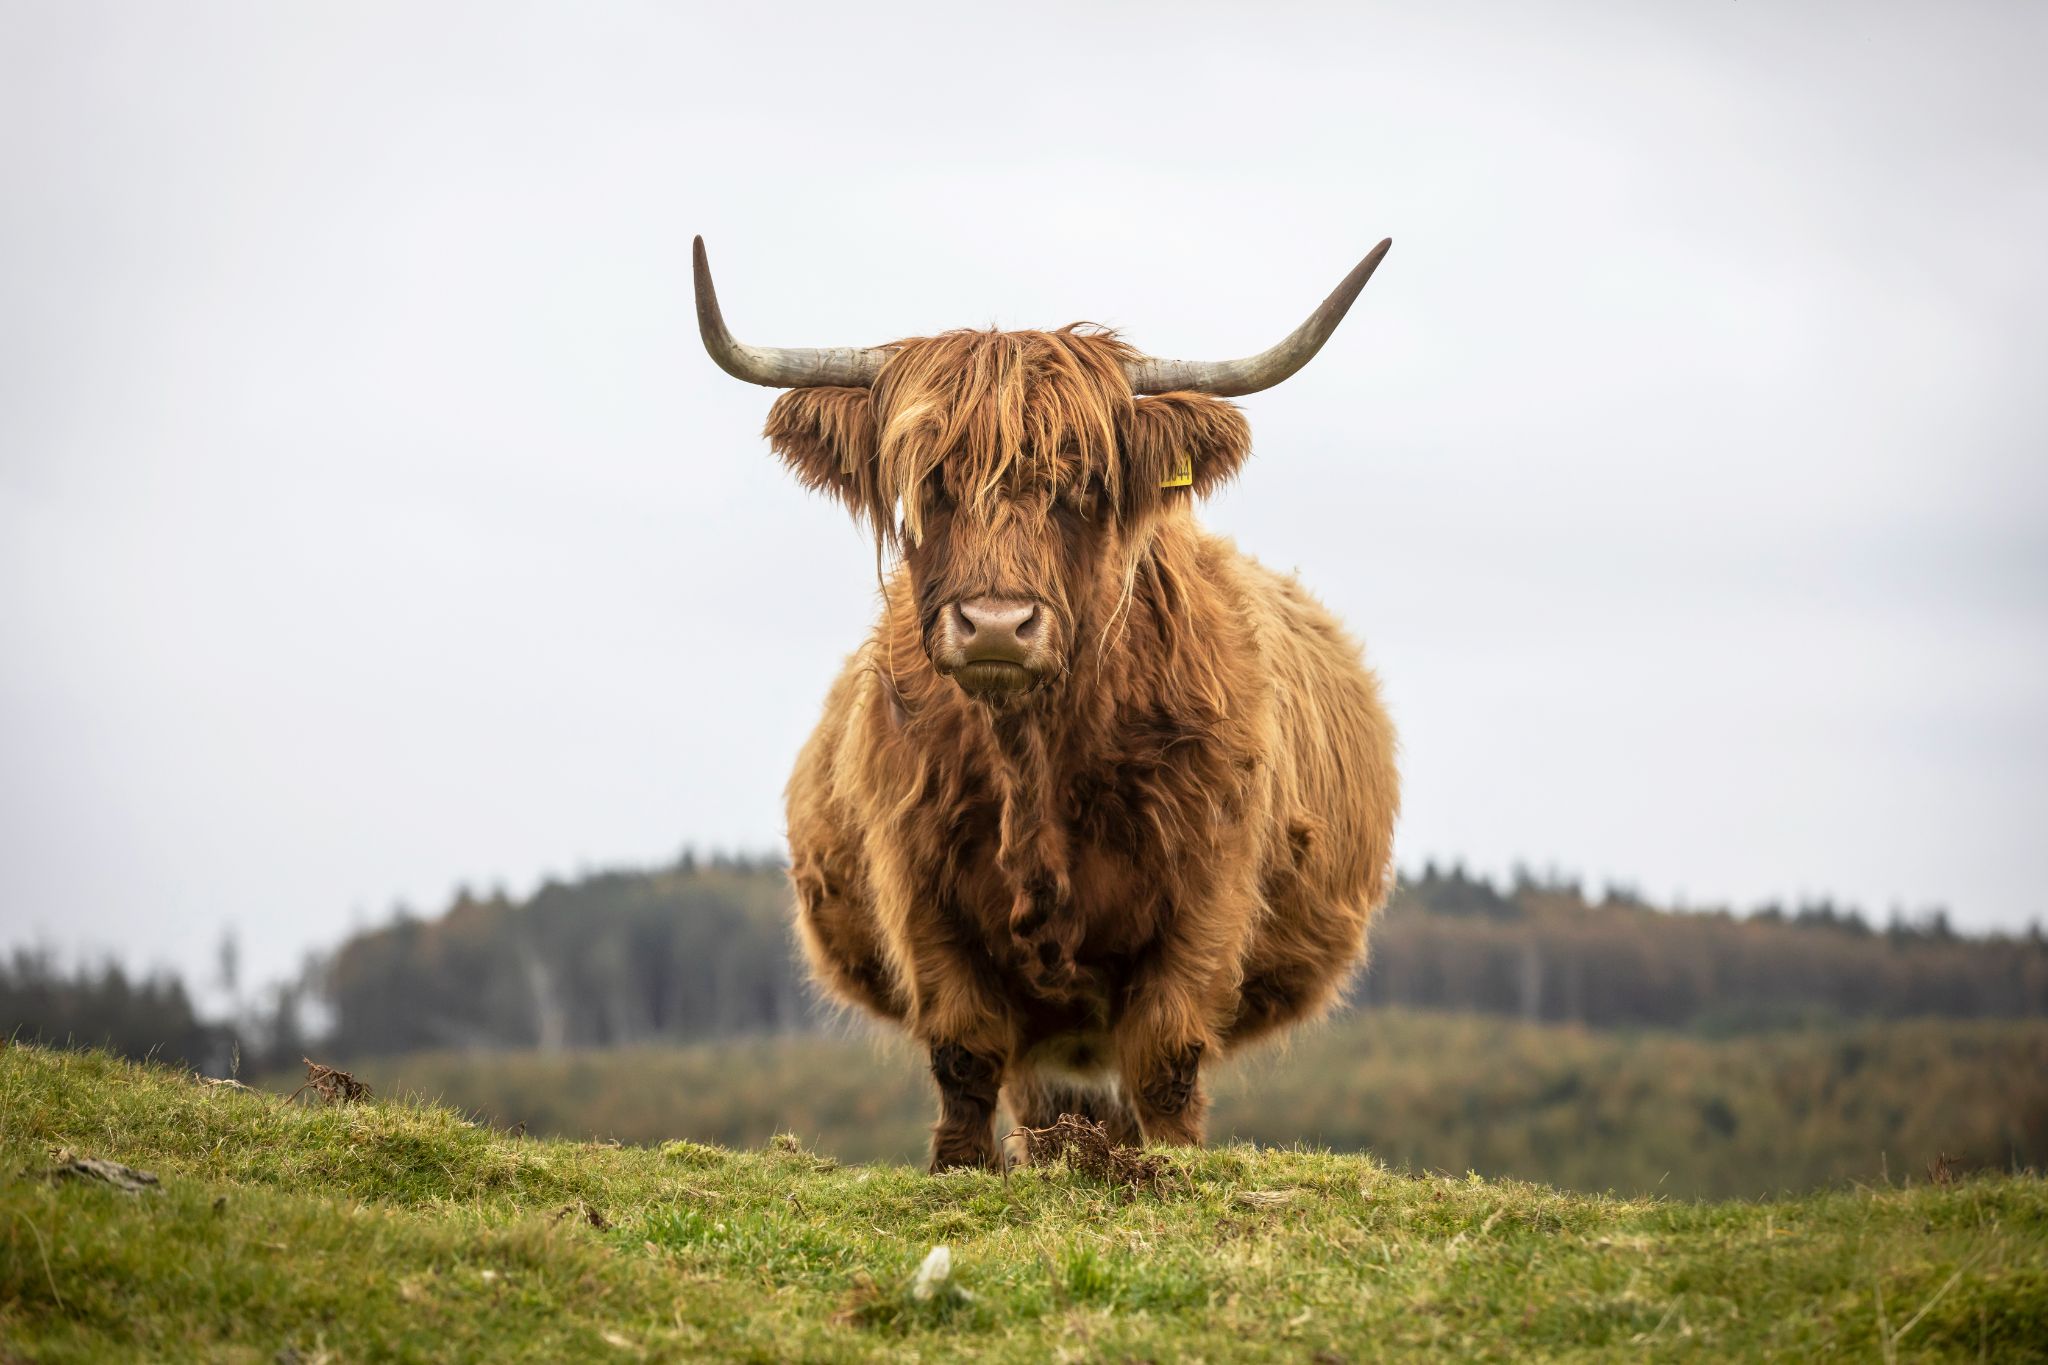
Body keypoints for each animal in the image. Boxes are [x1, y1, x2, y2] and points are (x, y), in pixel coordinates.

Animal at [696, 237, 1400, 1178]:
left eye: (1084, 484)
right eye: (933, 482)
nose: (997, 623)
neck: (1034, 754)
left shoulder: (1207, 889)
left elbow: (1167, 1059)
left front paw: (1169, 1170)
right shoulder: (919, 888)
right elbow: (964, 1052)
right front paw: (960, 1170)